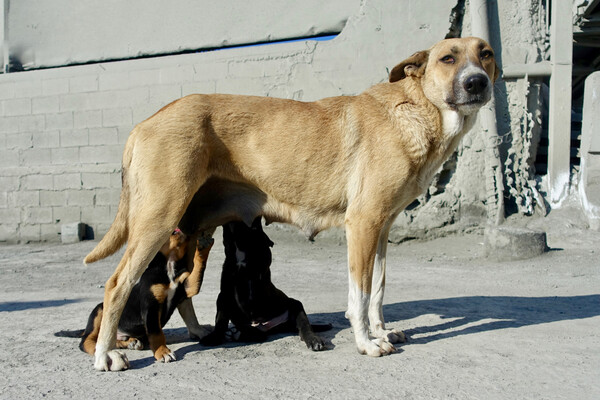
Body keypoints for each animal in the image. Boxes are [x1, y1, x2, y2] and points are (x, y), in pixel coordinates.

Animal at [56, 228, 211, 366]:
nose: (179, 228)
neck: (169, 265)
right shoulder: (151, 306)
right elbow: (156, 333)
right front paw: (162, 352)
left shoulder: (187, 288)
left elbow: (197, 273)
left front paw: (203, 245)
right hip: (99, 310)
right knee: (86, 341)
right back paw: (102, 351)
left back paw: (131, 342)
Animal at [202, 217, 332, 352]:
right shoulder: (224, 293)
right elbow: (220, 319)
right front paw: (214, 336)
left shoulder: (261, 261)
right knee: (249, 329)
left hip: (295, 305)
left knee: (304, 325)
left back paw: (313, 340)